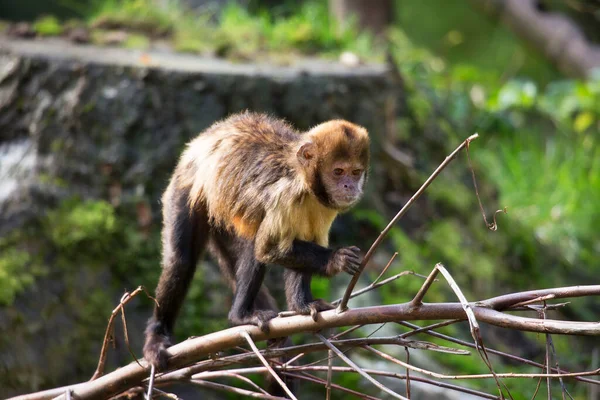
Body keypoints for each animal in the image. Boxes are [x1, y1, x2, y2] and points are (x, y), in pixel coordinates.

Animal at [145, 110, 370, 372]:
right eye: (338, 172)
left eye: (355, 172)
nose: (349, 185)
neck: (303, 181)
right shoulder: (285, 195)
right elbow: (269, 249)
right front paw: (336, 259)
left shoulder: (324, 207)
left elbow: (299, 244)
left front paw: (302, 306)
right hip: (185, 186)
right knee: (182, 261)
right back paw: (234, 318)